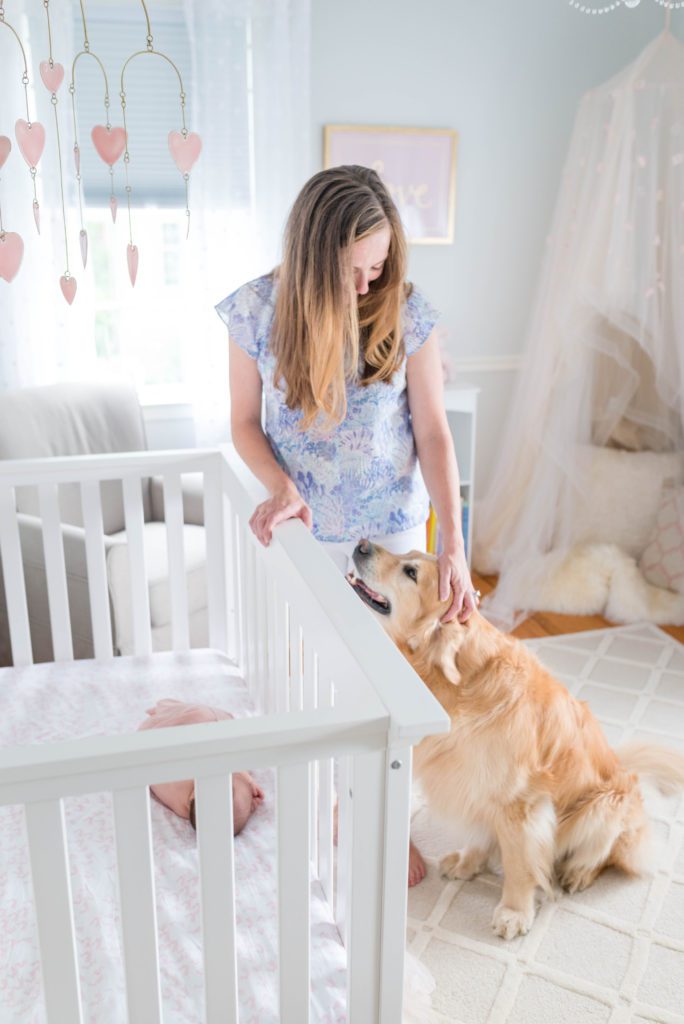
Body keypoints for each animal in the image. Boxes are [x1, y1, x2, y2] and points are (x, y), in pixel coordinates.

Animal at [348, 540, 684, 937]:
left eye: (410, 572)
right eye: (407, 555)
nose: (361, 545)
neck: (461, 684)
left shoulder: (521, 804)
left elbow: (520, 863)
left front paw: (514, 911)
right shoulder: (477, 787)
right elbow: (481, 833)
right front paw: (468, 862)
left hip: (603, 806)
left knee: (607, 853)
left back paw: (579, 873)